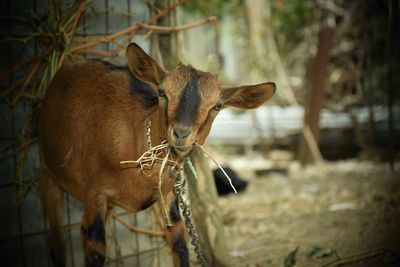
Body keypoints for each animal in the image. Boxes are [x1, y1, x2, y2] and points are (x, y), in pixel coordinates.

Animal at [38, 43, 276, 266]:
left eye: (217, 106)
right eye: (162, 93)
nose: (181, 134)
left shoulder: (167, 196)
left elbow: (179, 244)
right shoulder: (96, 194)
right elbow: (96, 251)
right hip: (48, 174)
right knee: (57, 244)